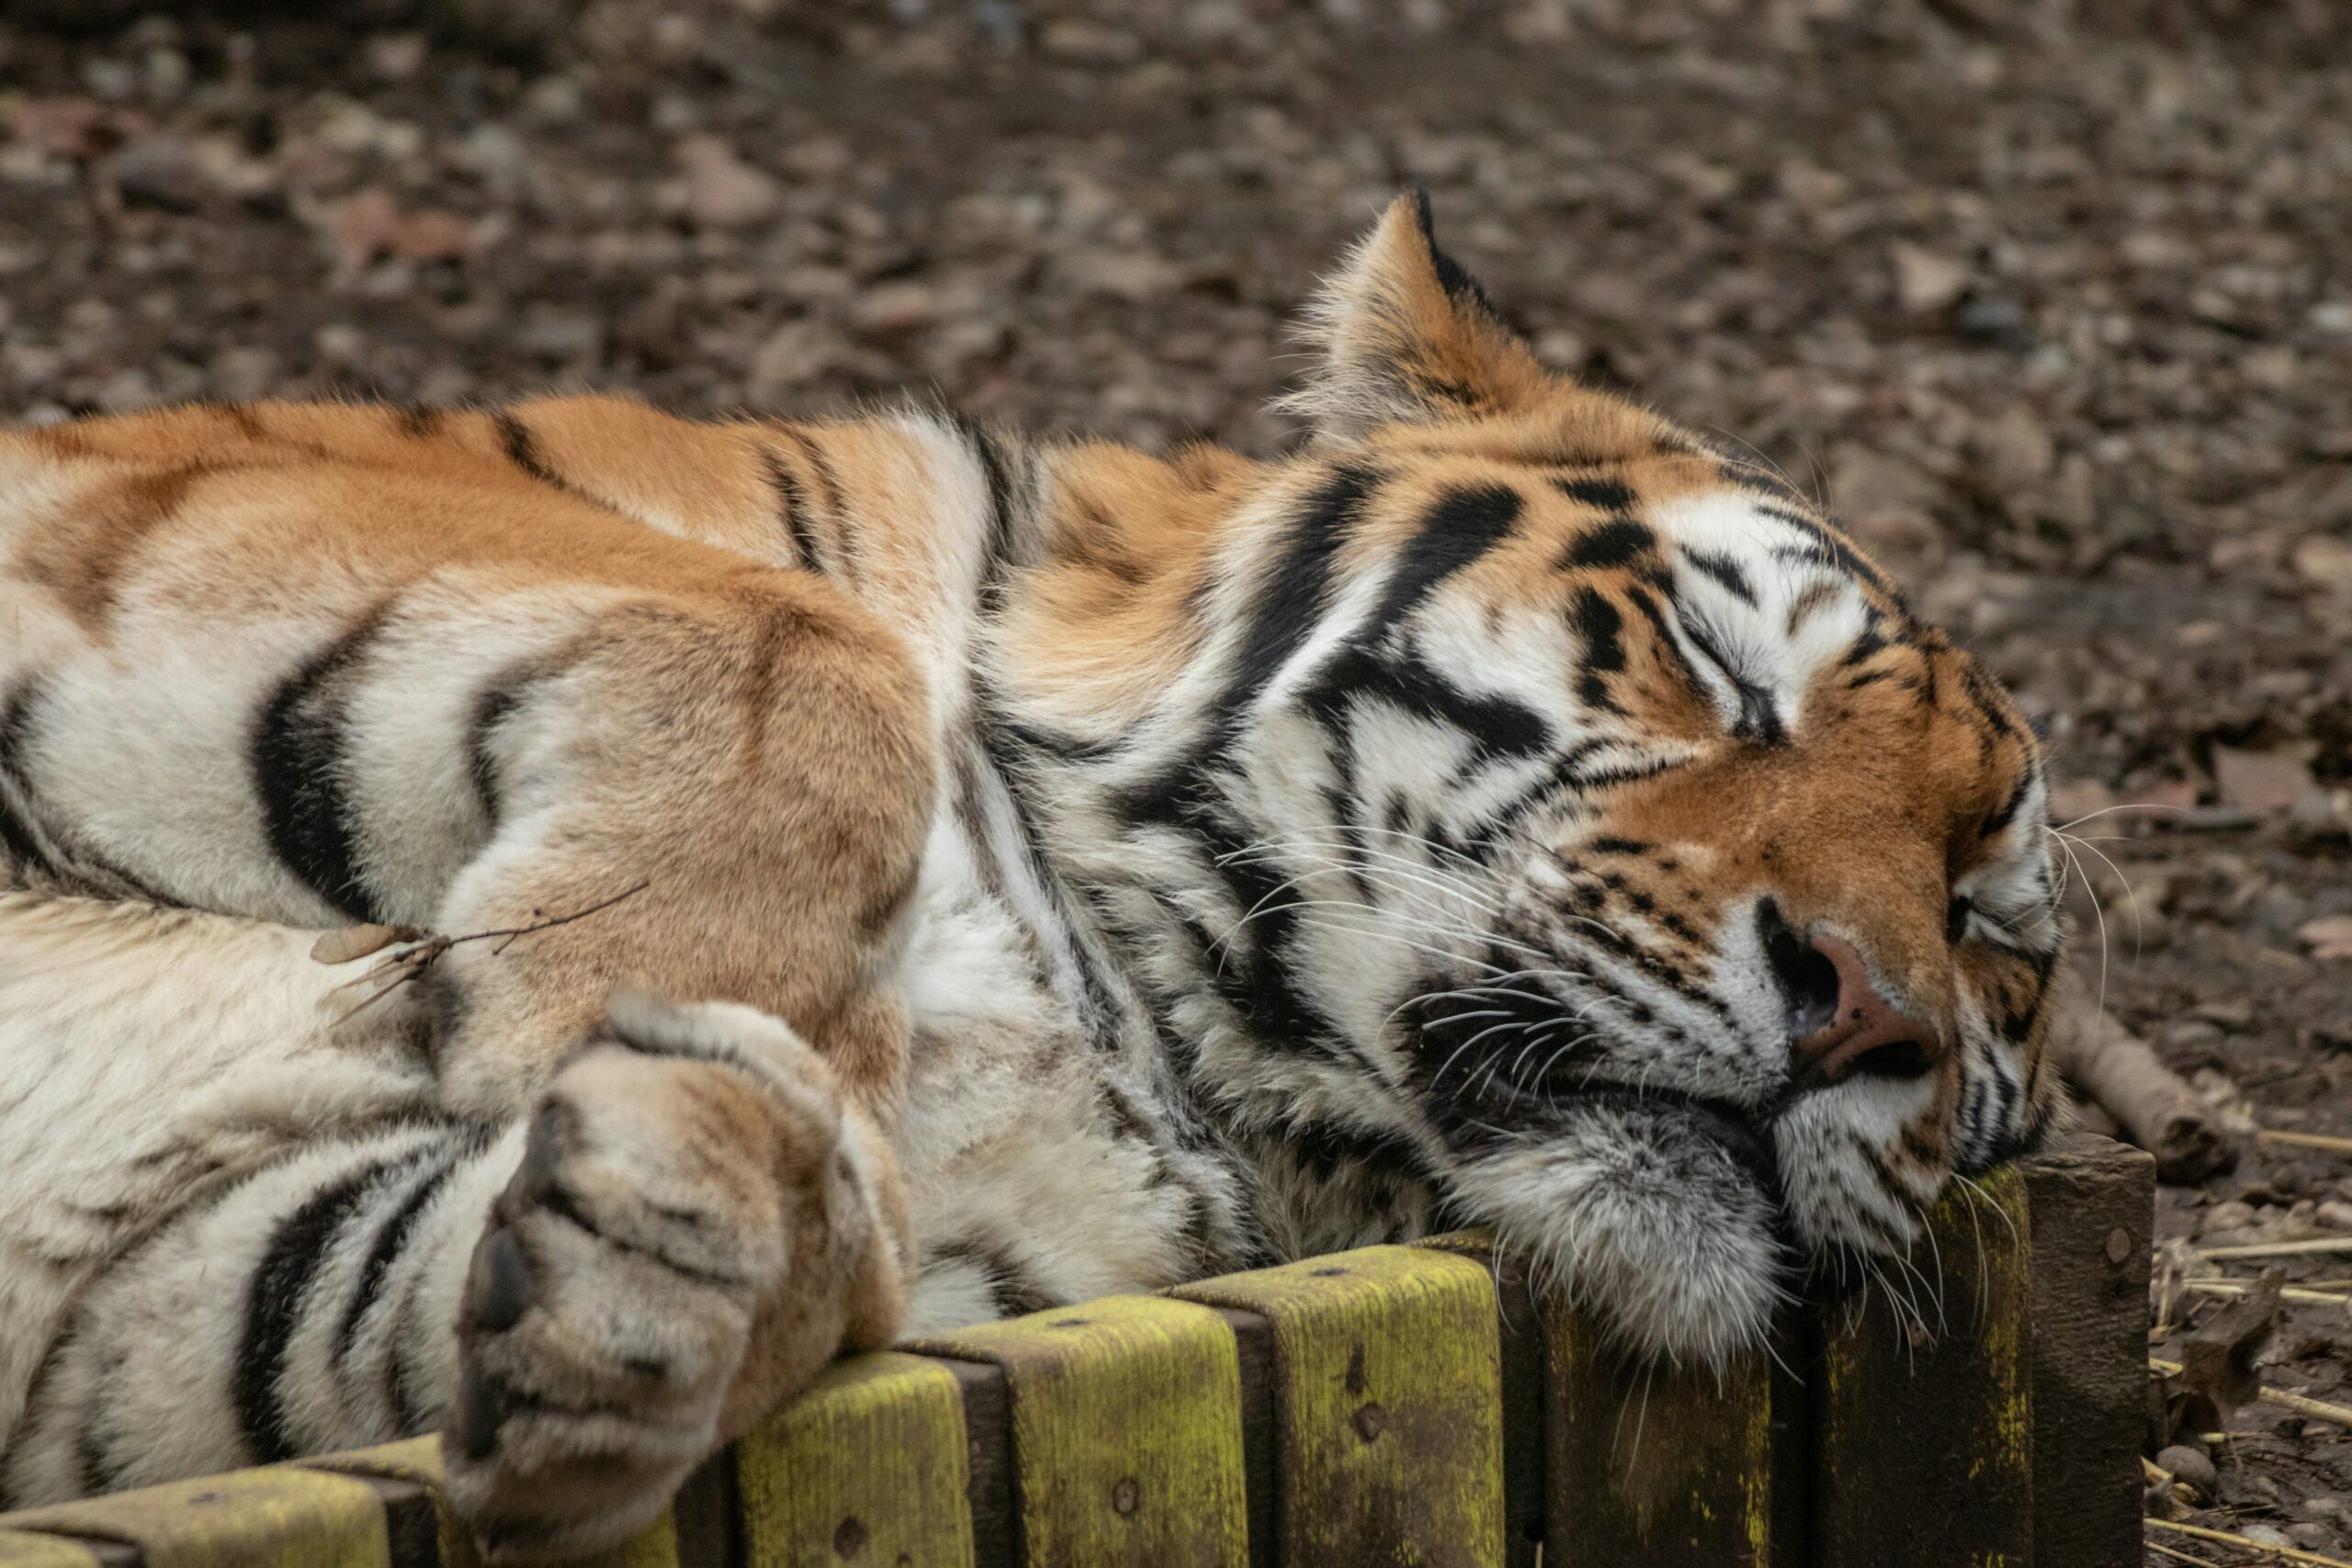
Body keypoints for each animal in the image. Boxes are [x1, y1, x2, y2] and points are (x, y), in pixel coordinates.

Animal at [0, 196, 2060, 1561]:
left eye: (1986, 927)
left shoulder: (130, 1292)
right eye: (1708, 676)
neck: (1142, 1026)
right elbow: (791, 636)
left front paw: (675, 1237)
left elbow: (334, 1293)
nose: (1870, 1013)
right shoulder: (170, 500)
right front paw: (560, 1026)